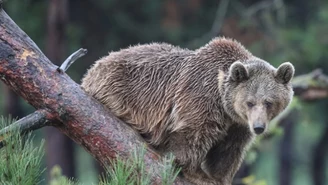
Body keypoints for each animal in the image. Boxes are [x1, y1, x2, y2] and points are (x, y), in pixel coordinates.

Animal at [81, 36, 294, 184]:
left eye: (269, 102)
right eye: (249, 102)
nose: (258, 127)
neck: (224, 104)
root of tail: (92, 69)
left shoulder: (238, 125)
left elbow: (229, 150)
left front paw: (219, 177)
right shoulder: (200, 96)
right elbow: (193, 133)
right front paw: (197, 174)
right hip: (120, 89)